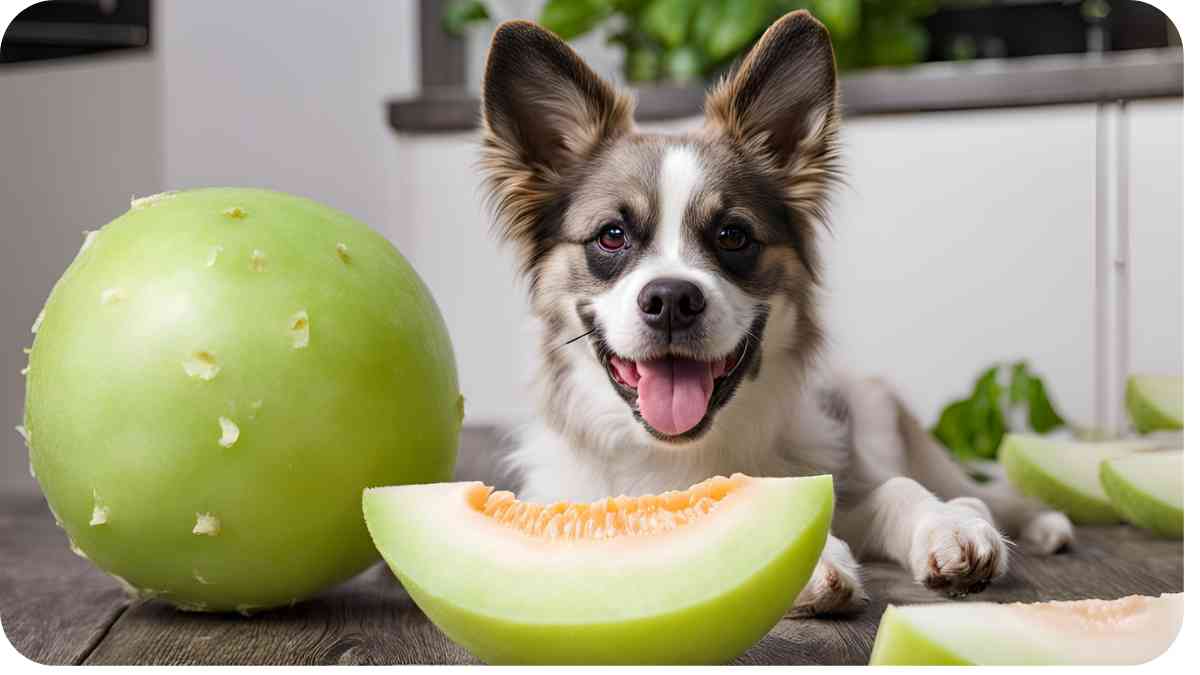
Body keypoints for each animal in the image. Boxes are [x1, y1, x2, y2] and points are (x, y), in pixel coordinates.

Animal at [472, 10, 1075, 612]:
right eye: (612, 236)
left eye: (733, 235)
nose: (671, 301)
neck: (682, 454)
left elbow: (897, 491)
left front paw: (946, 528)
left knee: (972, 491)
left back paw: (1029, 522)